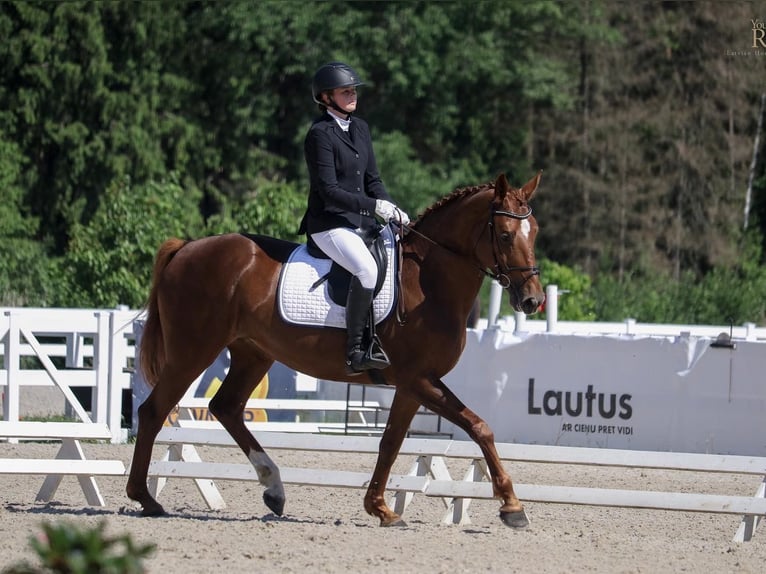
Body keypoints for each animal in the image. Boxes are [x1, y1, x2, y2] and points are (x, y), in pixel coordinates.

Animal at [126, 172, 544, 532]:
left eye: (535, 232)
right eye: (505, 235)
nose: (532, 300)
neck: (428, 281)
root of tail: (186, 247)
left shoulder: (412, 385)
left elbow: (391, 442)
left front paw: (381, 508)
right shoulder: (419, 379)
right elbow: (479, 427)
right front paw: (512, 506)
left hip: (252, 354)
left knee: (225, 407)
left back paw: (273, 488)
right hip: (192, 350)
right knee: (154, 411)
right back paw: (145, 498)